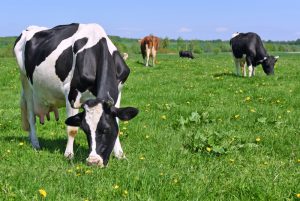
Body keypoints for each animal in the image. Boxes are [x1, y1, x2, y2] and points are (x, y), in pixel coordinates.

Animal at [14, 22, 139, 166]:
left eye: (106, 129)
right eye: (86, 130)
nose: (93, 161)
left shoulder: (118, 92)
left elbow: (118, 122)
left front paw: (120, 154)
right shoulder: (71, 93)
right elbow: (72, 129)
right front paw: (68, 154)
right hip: (25, 82)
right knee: (30, 116)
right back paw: (35, 143)